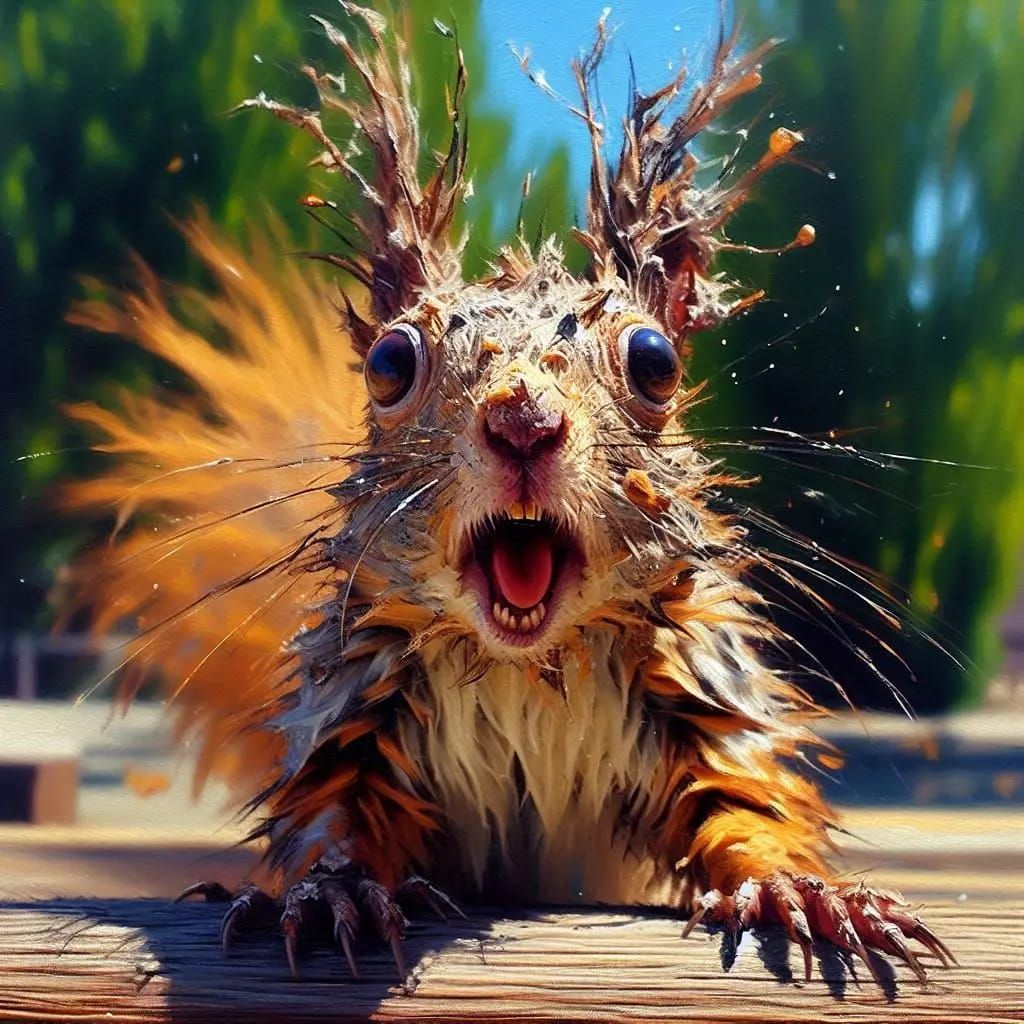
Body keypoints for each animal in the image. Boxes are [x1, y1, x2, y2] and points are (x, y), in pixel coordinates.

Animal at [63, 5, 953, 988]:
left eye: (656, 359)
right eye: (389, 360)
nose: (524, 419)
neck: (528, 668)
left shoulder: (700, 695)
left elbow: (748, 804)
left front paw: (806, 893)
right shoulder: (356, 716)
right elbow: (333, 816)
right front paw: (334, 892)